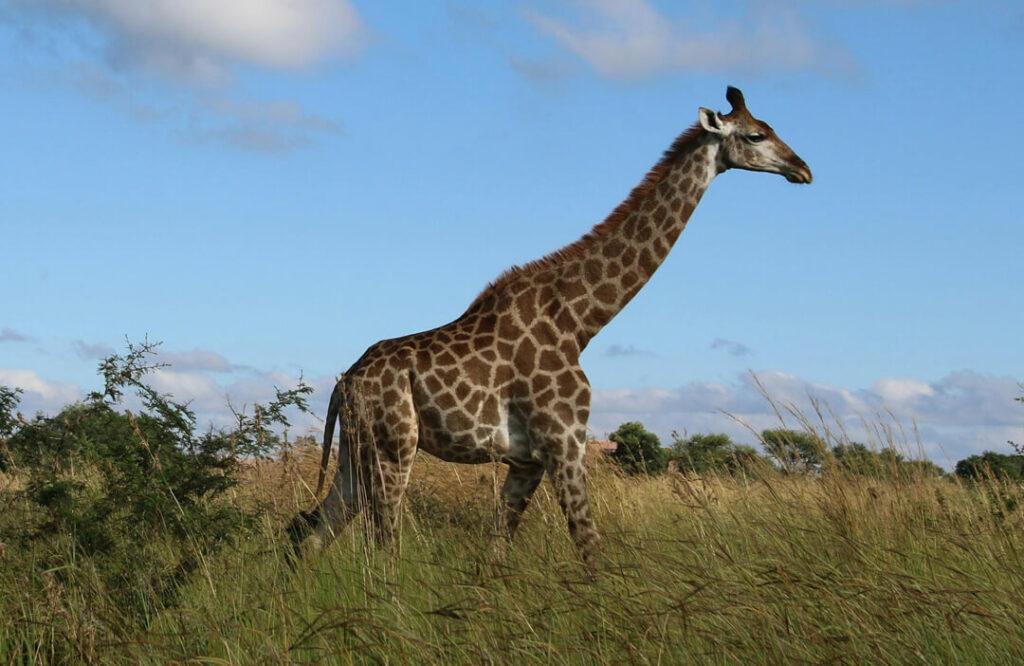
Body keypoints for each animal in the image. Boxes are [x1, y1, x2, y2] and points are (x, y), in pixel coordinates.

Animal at [287, 87, 812, 568]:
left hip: (358, 451)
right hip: (394, 446)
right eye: (756, 135)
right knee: (382, 546)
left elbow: (496, 552)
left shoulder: (528, 461)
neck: (580, 322)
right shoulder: (564, 443)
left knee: (313, 532)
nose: (803, 168)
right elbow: (590, 548)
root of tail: (344, 383)